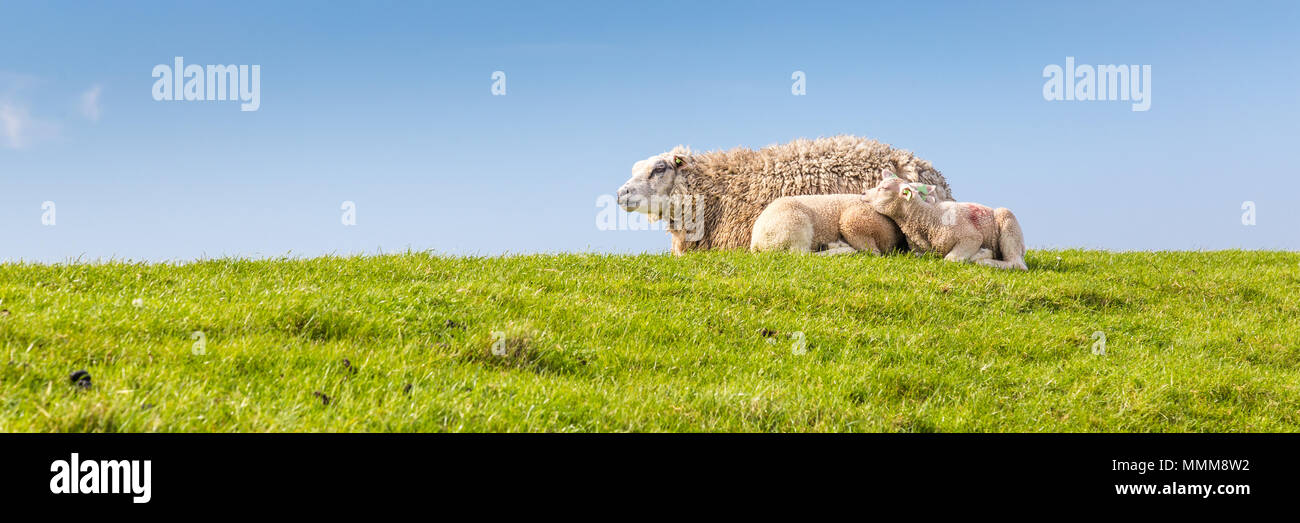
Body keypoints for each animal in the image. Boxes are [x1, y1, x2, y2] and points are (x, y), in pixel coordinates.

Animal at [863, 178, 1024, 271]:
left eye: (884, 188)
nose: (863, 193)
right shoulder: (920, 252)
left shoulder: (971, 237)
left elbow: (950, 259)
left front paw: (982, 254)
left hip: (1008, 222)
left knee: (1017, 264)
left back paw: (986, 261)